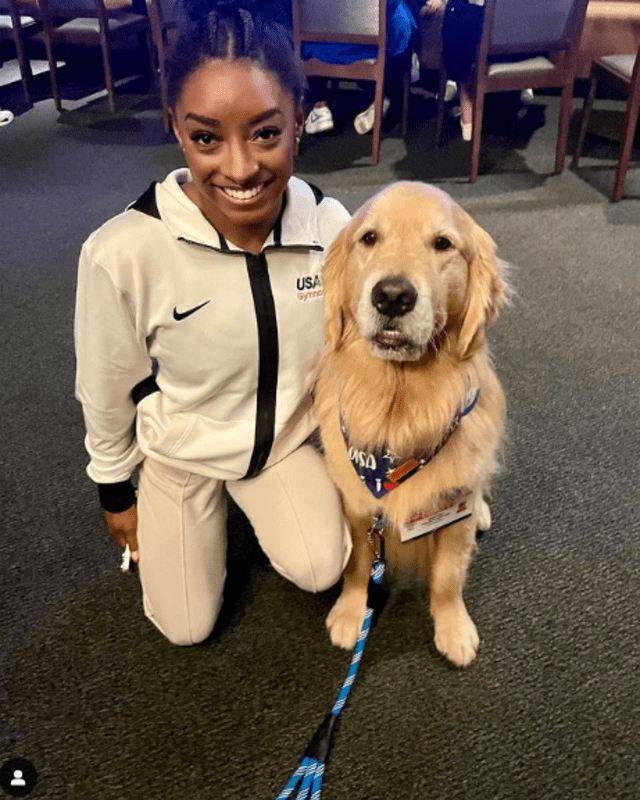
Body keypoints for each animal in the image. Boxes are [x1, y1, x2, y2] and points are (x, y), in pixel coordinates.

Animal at [316, 181, 510, 668]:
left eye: (442, 244)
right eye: (369, 238)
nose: (392, 295)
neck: (399, 410)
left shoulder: (452, 509)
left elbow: (447, 577)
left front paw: (453, 628)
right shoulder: (357, 505)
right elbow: (357, 566)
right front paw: (351, 613)